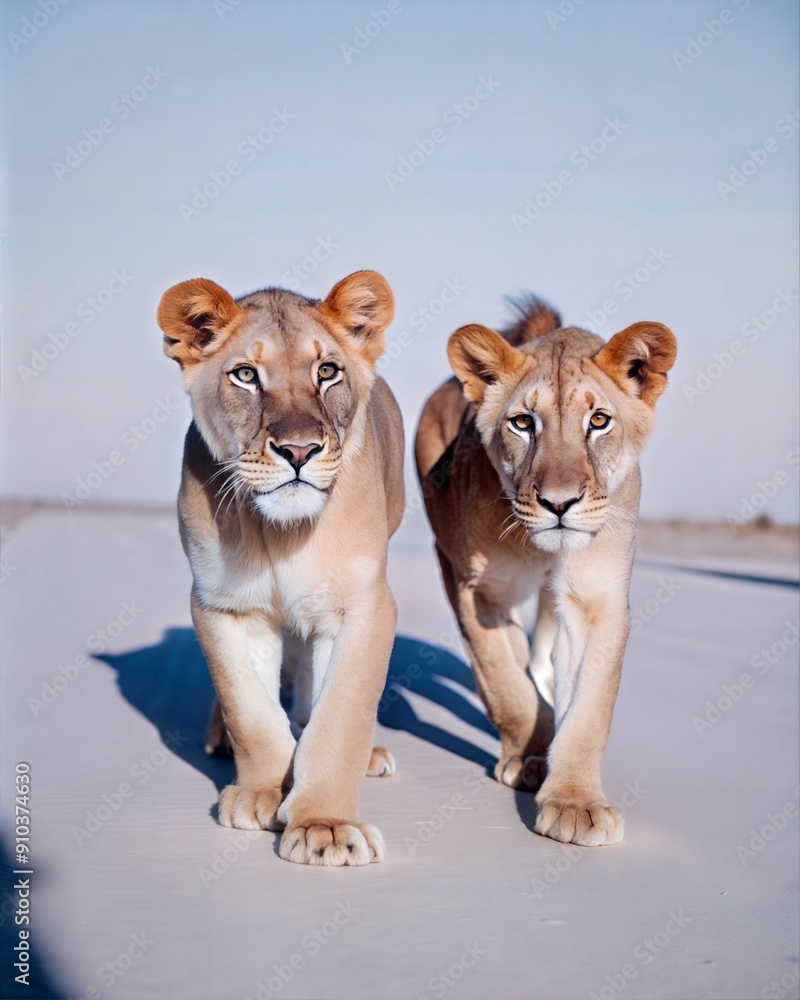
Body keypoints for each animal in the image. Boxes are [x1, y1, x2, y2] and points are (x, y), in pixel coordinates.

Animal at [157, 270, 404, 866]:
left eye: (327, 371)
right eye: (246, 375)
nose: (299, 450)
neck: (282, 531)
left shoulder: (364, 606)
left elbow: (341, 715)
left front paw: (326, 826)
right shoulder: (223, 605)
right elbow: (249, 710)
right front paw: (264, 792)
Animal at [415, 297, 676, 846]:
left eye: (598, 420)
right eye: (521, 423)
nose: (560, 503)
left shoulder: (597, 598)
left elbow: (589, 711)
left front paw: (575, 803)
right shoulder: (474, 588)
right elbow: (505, 682)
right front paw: (531, 757)